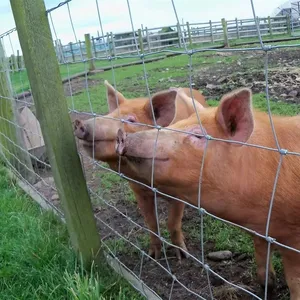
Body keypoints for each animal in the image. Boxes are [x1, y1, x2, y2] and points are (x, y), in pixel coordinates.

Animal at [74, 80, 207, 260]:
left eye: (131, 120)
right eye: (110, 113)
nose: (80, 123)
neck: (149, 181)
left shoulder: (179, 191)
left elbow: (172, 222)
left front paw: (182, 255)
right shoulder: (137, 189)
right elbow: (151, 222)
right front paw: (153, 256)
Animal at [116, 86, 300, 298]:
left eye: (198, 135)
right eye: (175, 124)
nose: (122, 135)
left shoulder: (293, 242)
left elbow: (294, 281)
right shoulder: (260, 231)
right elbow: (261, 253)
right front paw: (267, 286)